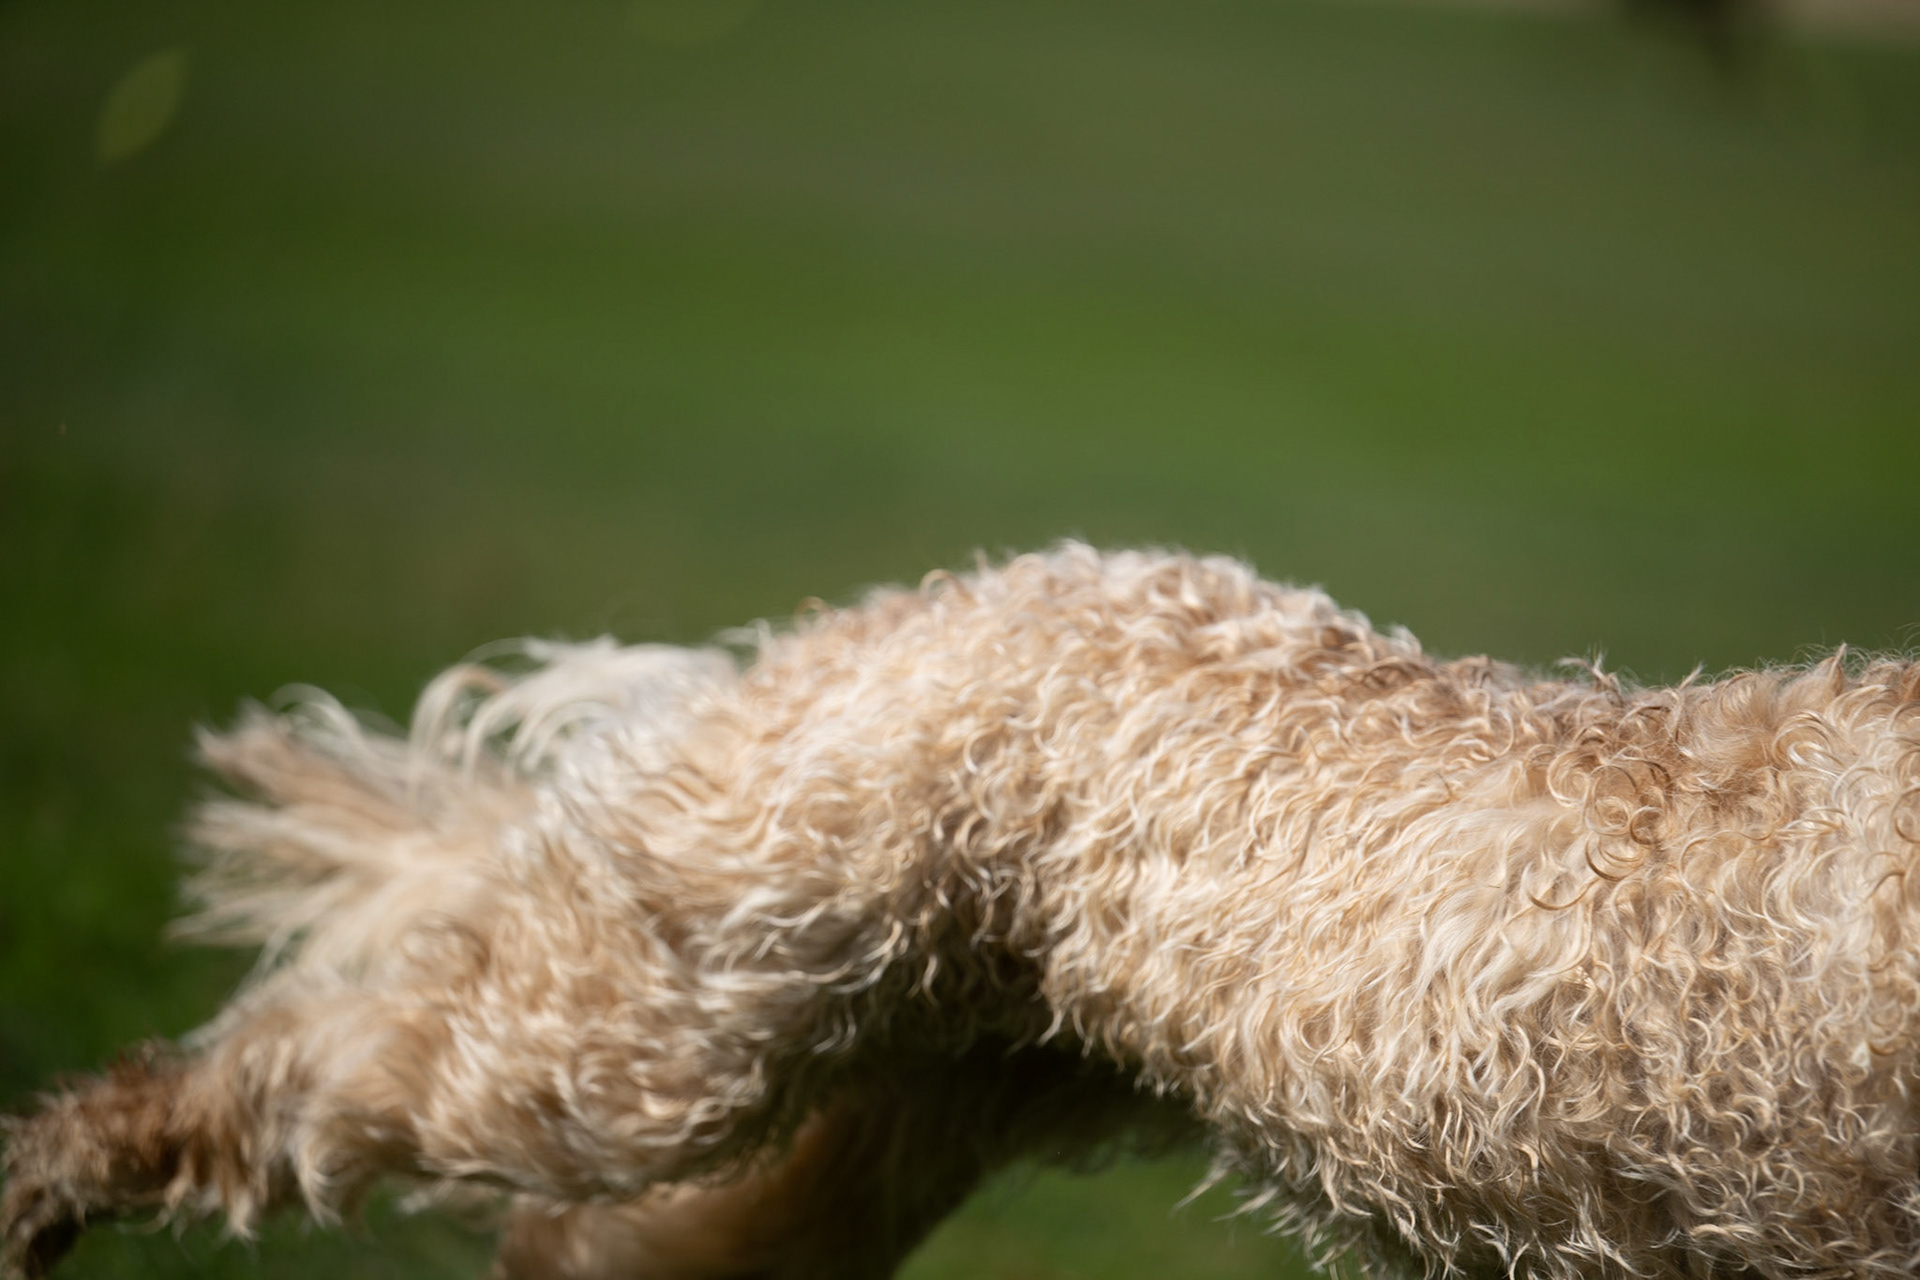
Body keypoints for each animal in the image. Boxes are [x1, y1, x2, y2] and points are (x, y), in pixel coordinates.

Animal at [5, 544, 1920, 1278]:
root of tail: (935, 594)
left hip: (907, 1087)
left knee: (595, 1246)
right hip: (663, 1032)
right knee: (302, 1067)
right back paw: (56, 1175)